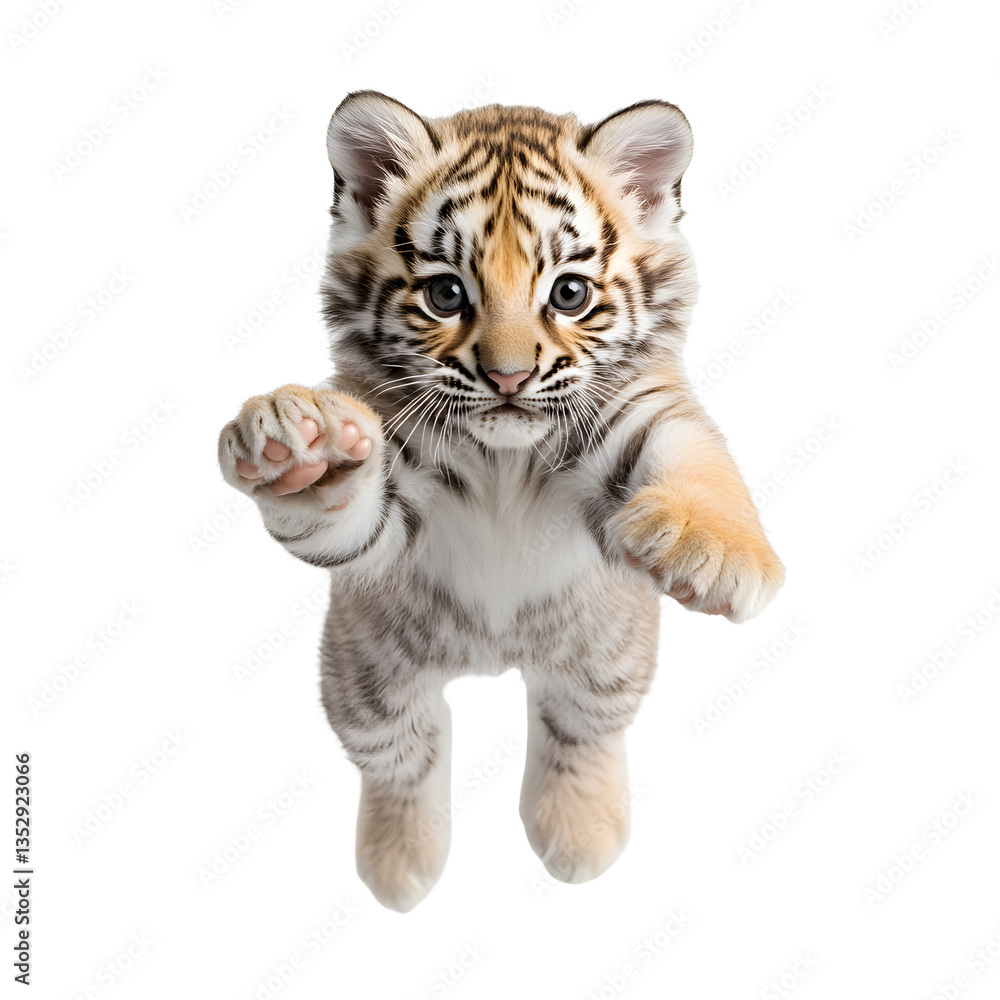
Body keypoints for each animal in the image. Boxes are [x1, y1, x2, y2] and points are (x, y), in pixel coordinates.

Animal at [217, 91, 784, 911]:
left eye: (570, 294)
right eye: (445, 293)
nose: (510, 379)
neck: (503, 458)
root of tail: (495, 657)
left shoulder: (642, 410)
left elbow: (697, 461)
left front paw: (718, 555)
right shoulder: (386, 511)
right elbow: (344, 512)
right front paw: (302, 446)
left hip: (604, 659)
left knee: (579, 730)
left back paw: (581, 842)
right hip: (364, 676)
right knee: (403, 754)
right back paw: (400, 868)